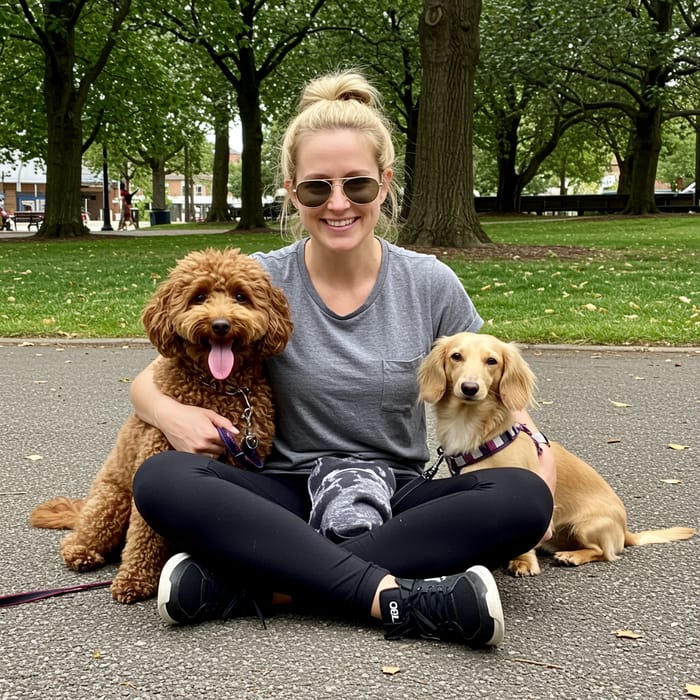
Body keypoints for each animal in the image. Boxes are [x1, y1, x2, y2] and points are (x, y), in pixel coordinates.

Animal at [29, 249, 292, 604]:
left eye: (241, 296)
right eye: (199, 297)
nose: (220, 325)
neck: (219, 388)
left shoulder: (244, 463)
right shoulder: (156, 451)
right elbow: (145, 534)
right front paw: (135, 580)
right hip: (111, 502)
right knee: (82, 537)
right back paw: (82, 553)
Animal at [416, 330, 696, 576]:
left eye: (492, 361)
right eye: (456, 356)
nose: (470, 387)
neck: (475, 431)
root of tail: (624, 531)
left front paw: (523, 562)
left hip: (586, 526)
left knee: (603, 552)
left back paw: (572, 556)